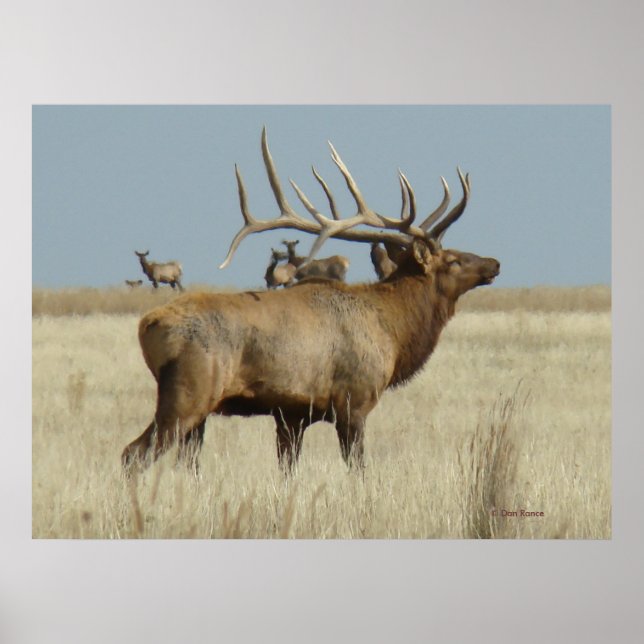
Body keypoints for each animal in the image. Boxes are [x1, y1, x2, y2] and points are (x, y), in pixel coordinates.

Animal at [122, 128, 500, 476]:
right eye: (453, 260)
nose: (494, 263)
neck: (394, 331)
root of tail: (148, 325)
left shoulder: (292, 414)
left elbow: (287, 470)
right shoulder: (354, 400)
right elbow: (358, 468)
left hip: (197, 409)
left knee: (184, 462)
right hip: (189, 392)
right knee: (133, 453)